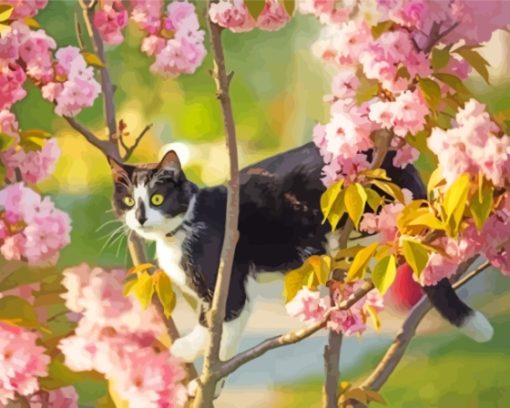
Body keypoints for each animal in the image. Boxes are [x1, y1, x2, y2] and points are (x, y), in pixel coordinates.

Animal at [108, 143, 494, 370]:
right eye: (128, 201)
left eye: (157, 199)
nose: (140, 218)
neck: (180, 231)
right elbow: (213, 316)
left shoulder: (225, 274)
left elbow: (223, 316)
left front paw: (205, 359)